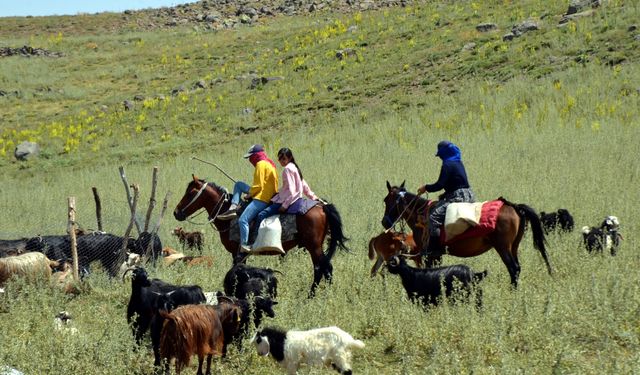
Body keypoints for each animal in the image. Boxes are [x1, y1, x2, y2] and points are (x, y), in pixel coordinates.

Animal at [172, 176, 348, 296]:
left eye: (190, 193)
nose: (176, 213)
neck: (227, 214)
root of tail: (322, 206)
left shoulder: (237, 253)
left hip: (313, 246)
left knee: (323, 268)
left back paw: (313, 296)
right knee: (324, 268)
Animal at [382, 182, 552, 288]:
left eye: (386, 200)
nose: (384, 222)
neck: (421, 214)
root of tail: (514, 207)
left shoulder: (428, 255)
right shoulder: (437, 255)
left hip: (503, 247)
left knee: (513, 268)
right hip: (513, 247)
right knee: (517, 268)